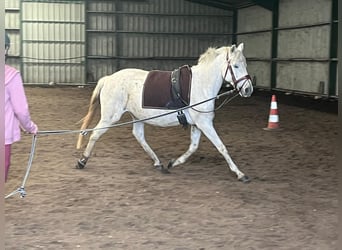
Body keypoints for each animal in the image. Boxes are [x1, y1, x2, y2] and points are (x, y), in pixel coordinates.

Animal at [77, 43, 254, 182]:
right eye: (236, 66)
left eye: (245, 64)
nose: (248, 89)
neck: (201, 84)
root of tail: (108, 78)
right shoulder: (205, 124)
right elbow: (221, 147)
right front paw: (240, 174)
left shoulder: (198, 124)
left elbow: (193, 147)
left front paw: (173, 163)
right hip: (110, 117)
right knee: (95, 134)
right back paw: (82, 161)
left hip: (137, 117)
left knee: (139, 137)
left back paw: (159, 164)